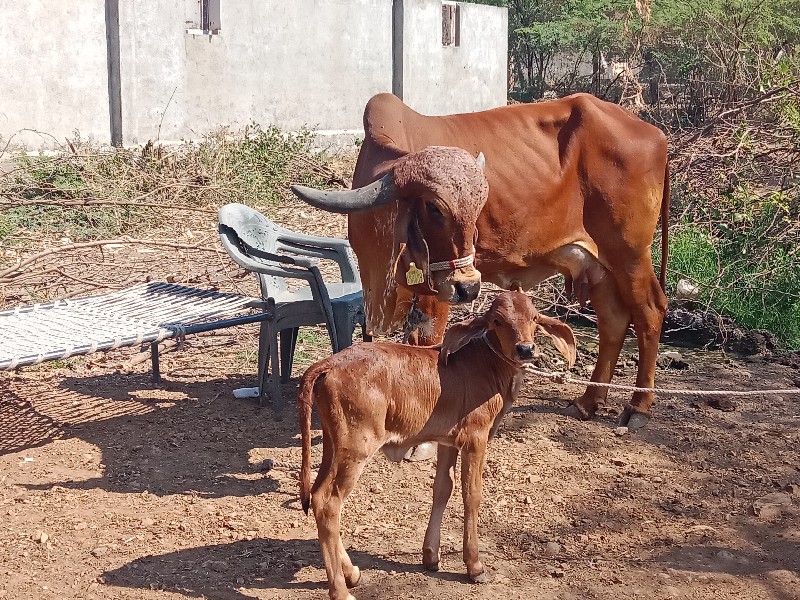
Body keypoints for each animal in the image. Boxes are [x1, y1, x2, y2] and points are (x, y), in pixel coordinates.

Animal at [294, 92, 668, 432]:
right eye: (433, 208)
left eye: (479, 208)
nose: (470, 288)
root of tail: (655, 133)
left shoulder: (436, 292)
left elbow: (428, 342)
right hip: (599, 264)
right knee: (613, 320)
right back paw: (589, 401)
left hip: (630, 253)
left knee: (650, 311)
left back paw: (639, 407)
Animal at [298, 290, 576, 600]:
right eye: (497, 320)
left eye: (535, 318)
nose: (526, 349)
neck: (487, 365)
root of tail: (329, 363)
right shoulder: (475, 438)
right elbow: (472, 494)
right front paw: (474, 566)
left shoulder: (448, 441)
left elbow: (443, 488)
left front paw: (431, 555)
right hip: (356, 448)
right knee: (328, 504)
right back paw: (340, 590)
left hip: (333, 445)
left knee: (317, 495)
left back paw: (351, 573)